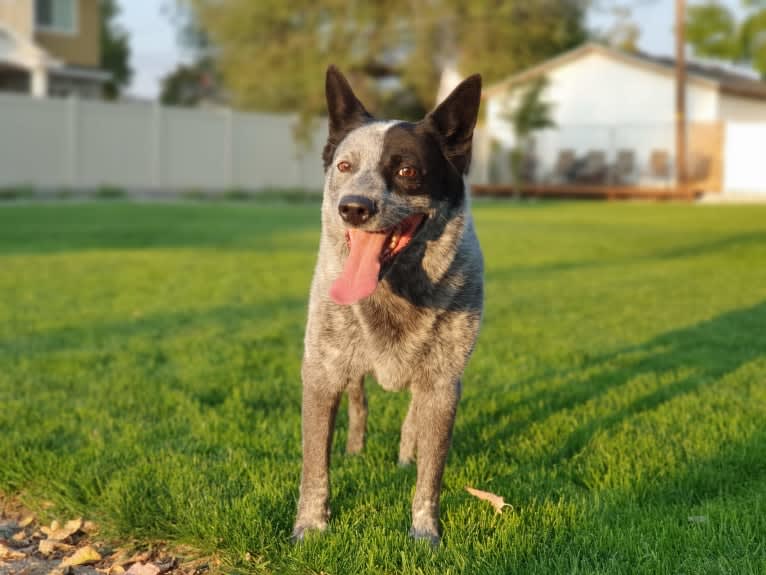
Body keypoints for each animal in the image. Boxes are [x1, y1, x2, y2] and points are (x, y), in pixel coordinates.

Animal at [296, 66, 486, 544]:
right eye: (345, 166)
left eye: (406, 170)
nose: (353, 208)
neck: (395, 289)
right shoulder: (321, 372)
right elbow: (315, 466)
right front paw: (310, 528)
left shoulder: (443, 384)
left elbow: (430, 477)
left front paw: (425, 535)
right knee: (359, 401)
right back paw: (356, 450)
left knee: (412, 419)